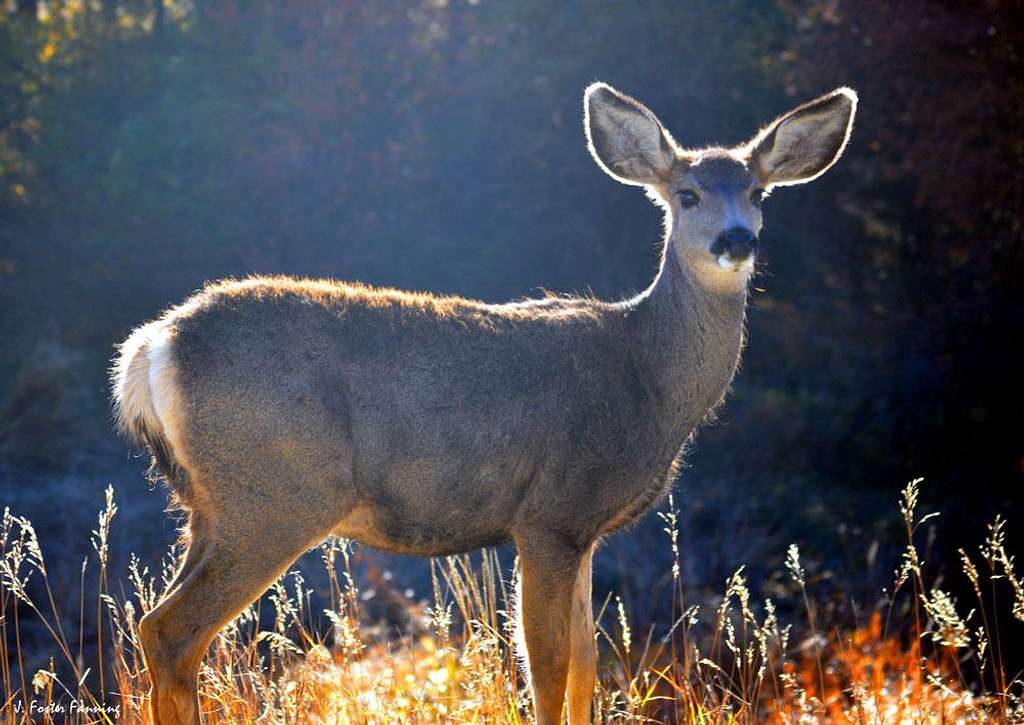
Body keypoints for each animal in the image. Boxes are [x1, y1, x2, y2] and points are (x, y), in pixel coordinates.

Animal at [112, 81, 856, 720]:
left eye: (759, 192)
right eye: (689, 193)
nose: (738, 239)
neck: (645, 376)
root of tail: (153, 346)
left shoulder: (582, 530)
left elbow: (587, 663)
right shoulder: (552, 512)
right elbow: (548, 664)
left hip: (210, 506)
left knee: (153, 625)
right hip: (274, 495)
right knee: (173, 630)